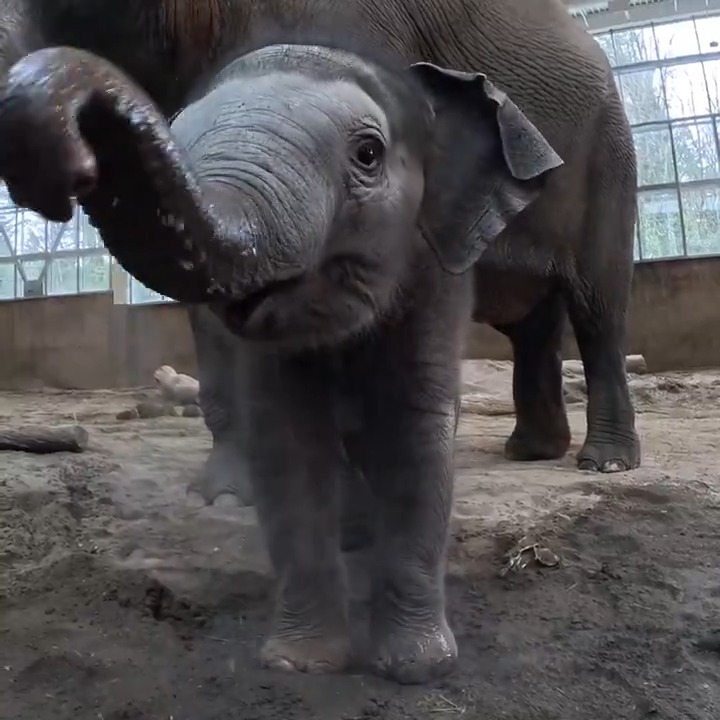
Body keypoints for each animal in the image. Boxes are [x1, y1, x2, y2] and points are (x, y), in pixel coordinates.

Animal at [0, 0, 640, 684]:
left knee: (599, 308)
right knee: (531, 324)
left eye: (368, 154)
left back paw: (604, 463)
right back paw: (529, 452)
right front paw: (242, 503)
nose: (71, 168)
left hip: (609, 152)